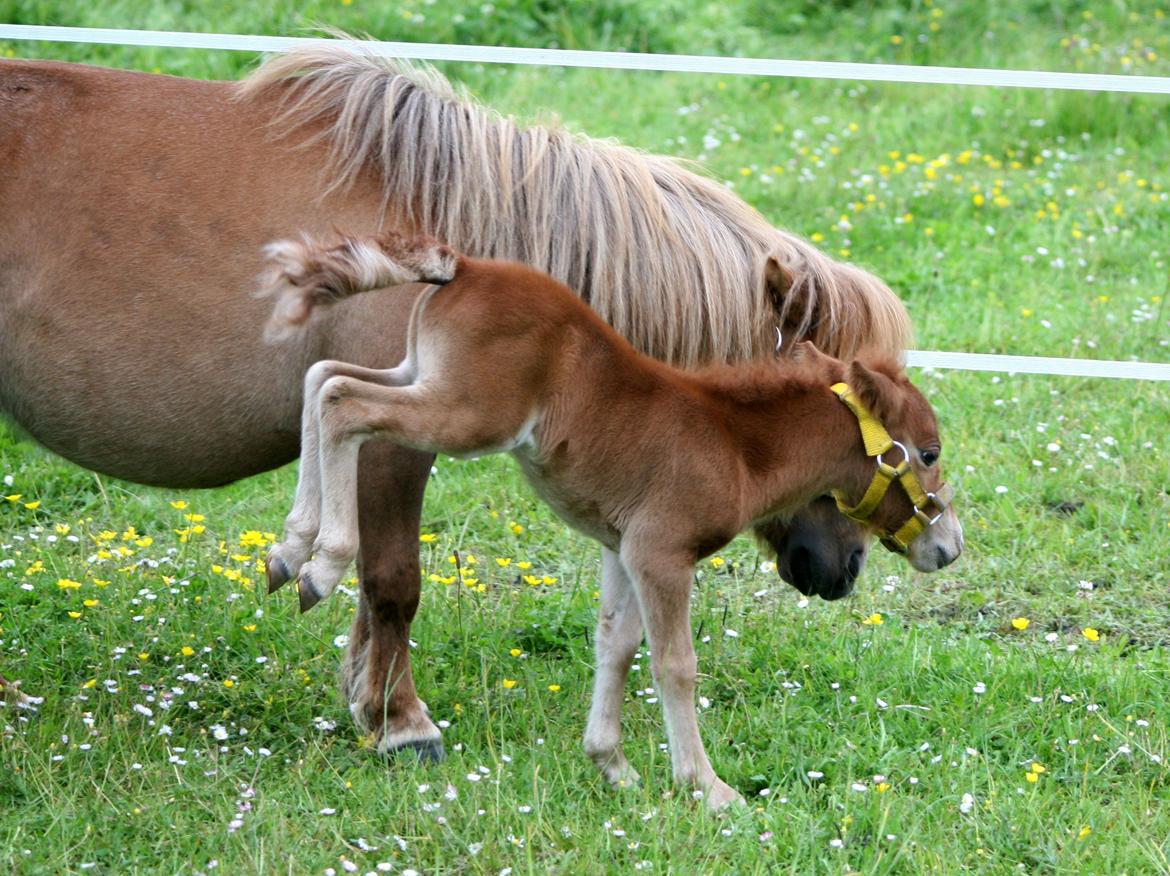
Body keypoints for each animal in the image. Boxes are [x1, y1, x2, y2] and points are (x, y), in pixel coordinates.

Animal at [0, 43, 912, 756]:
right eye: (849, 415)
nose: (841, 569)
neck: (460, 238)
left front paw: (361, 693)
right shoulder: (394, 439)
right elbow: (393, 579)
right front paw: (403, 723)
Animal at [257, 229, 961, 808]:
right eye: (928, 452)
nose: (949, 547)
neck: (734, 444)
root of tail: (467, 264)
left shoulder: (622, 549)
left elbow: (615, 646)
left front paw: (612, 765)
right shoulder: (662, 553)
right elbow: (675, 663)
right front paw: (707, 788)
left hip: (420, 377)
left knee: (325, 377)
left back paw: (290, 549)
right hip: (468, 415)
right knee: (345, 401)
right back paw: (321, 562)